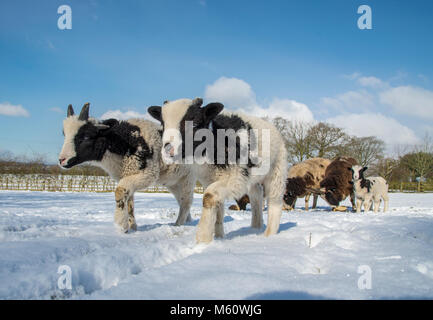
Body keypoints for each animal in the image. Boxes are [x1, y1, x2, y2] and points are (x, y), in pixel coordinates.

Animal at [58, 104, 195, 231]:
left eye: (86, 136)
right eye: (64, 134)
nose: (62, 160)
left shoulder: (148, 174)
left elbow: (120, 191)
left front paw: (121, 225)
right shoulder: (126, 175)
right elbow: (129, 201)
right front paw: (132, 227)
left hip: (188, 177)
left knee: (186, 202)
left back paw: (178, 224)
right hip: (174, 181)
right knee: (181, 199)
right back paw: (188, 221)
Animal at [148, 97, 286, 242]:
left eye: (195, 122)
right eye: (163, 124)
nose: (168, 150)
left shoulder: (236, 178)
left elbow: (209, 196)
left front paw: (203, 238)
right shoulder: (210, 179)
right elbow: (217, 206)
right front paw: (219, 238)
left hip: (277, 168)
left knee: (275, 200)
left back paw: (269, 234)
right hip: (253, 177)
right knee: (257, 193)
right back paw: (255, 227)